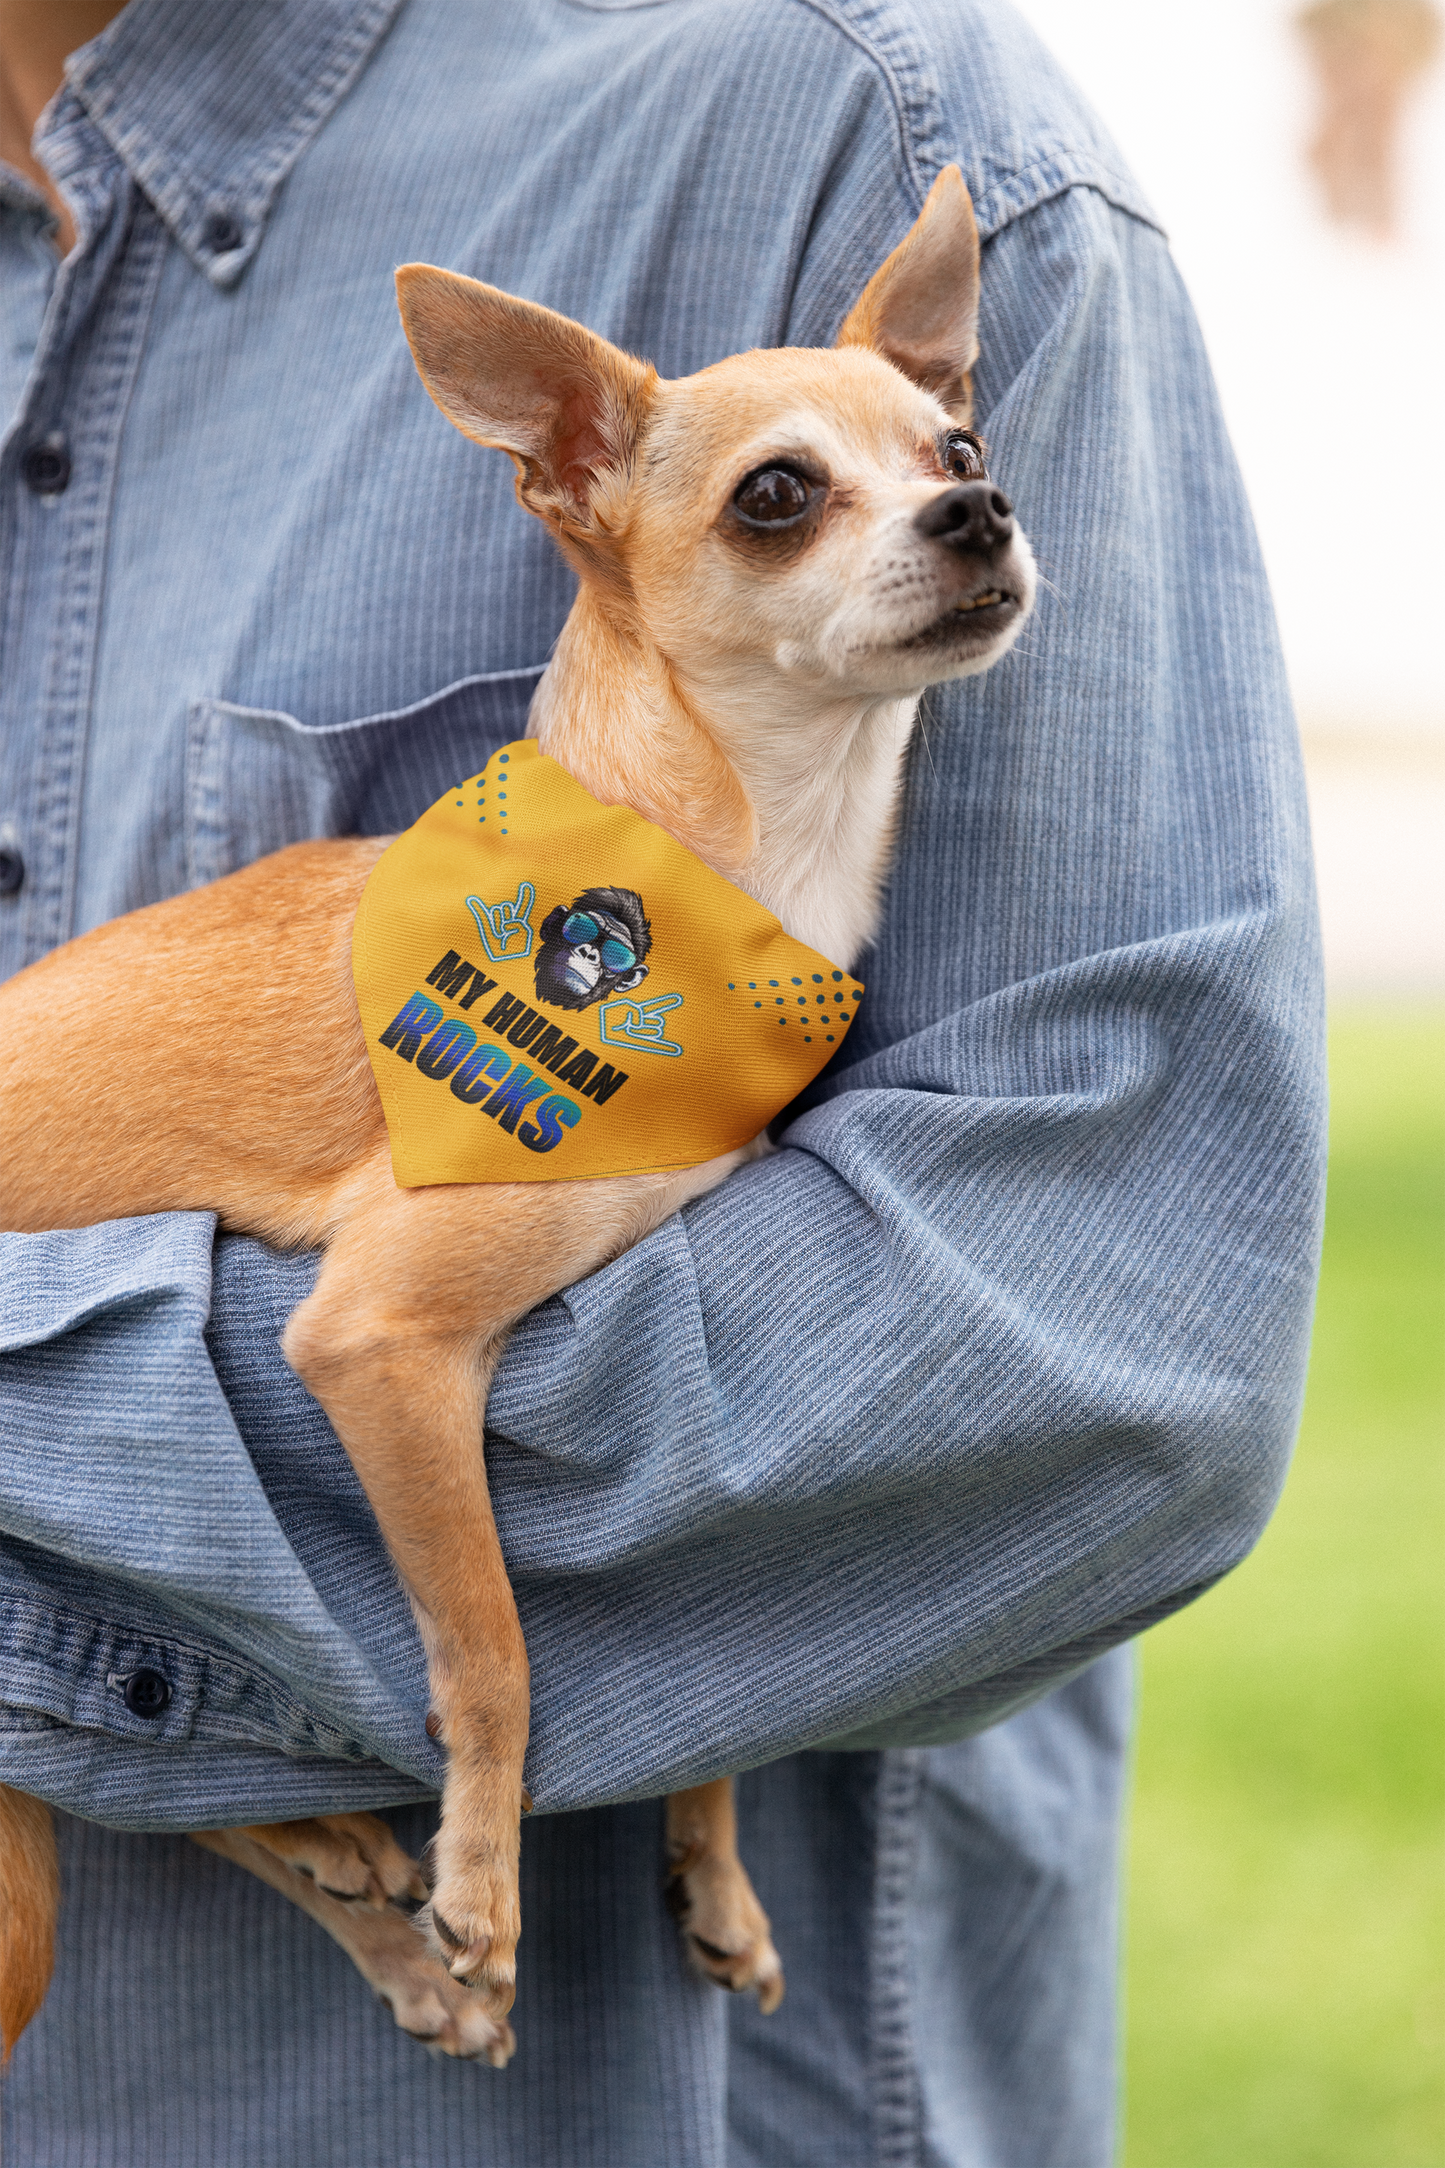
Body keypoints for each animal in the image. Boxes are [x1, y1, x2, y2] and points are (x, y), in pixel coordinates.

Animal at [0, 169, 1026, 2063]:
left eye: (960, 439)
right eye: (779, 494)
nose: (981, 508)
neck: (722, 872)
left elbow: (711, 1688)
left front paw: (708, 1865)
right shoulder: (380, 1341)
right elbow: (492, 1644)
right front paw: (483, 1880)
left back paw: (348, 1875)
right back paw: (371, 1877)